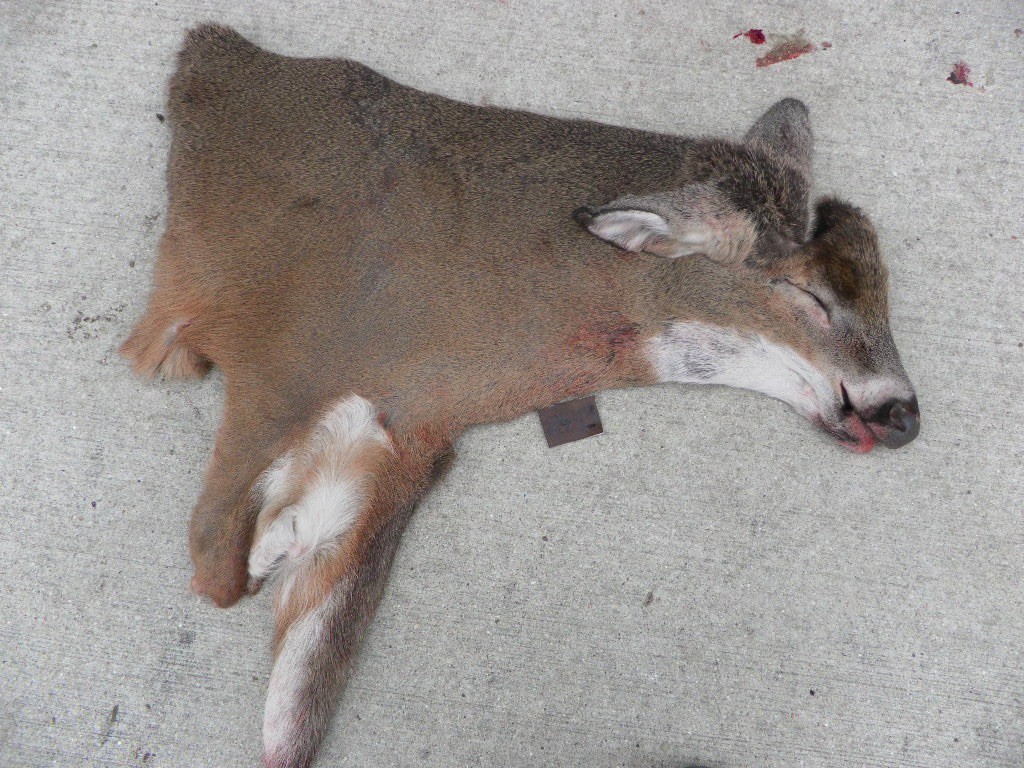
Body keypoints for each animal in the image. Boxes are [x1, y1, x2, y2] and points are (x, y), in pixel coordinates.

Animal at [121, 24, 921, 768]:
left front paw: (279, 560)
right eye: (808, 296)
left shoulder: (403, 434)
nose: (904, 413)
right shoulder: (300, 373)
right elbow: (221, 567)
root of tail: (211, 51)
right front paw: (259, 557)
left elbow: (297, 676)